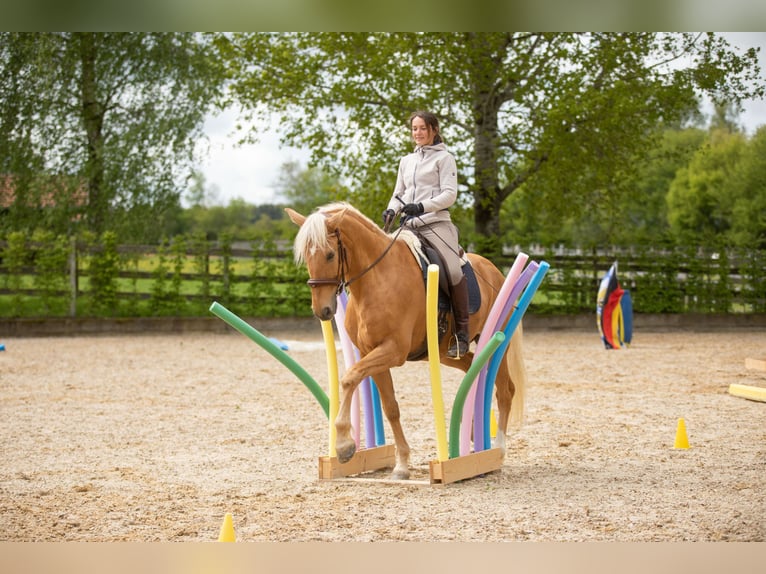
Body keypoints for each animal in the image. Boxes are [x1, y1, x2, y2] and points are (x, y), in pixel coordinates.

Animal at [286, 202, 527, 480]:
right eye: (306, 256)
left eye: (329, 255)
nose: (322, 310)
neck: (377, 280)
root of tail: (495, 271)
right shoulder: (372, 354)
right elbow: (390, 407)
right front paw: (401, 464)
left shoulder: (392, 350)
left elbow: (348, 378)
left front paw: (344, 445)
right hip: (443, 352)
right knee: (472, 368)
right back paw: (475, 435)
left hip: (498, 343)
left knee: (505, 390)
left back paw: (499, 448)